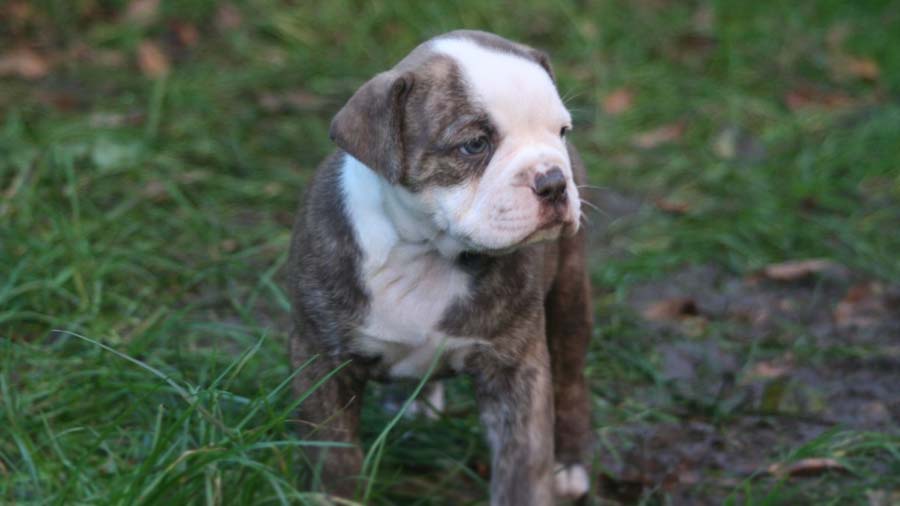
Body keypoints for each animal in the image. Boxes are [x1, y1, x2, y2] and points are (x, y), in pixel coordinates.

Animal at [288, 29, 596, 504]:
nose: (553, 181)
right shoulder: (320, 360)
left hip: (569, 297)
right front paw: (332, 495)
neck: (426, 251)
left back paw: (569, 464)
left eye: (561, 131)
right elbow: (334, 457)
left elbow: (522, 464)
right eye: (474, 144)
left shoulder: (516, 370)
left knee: (570, 379)